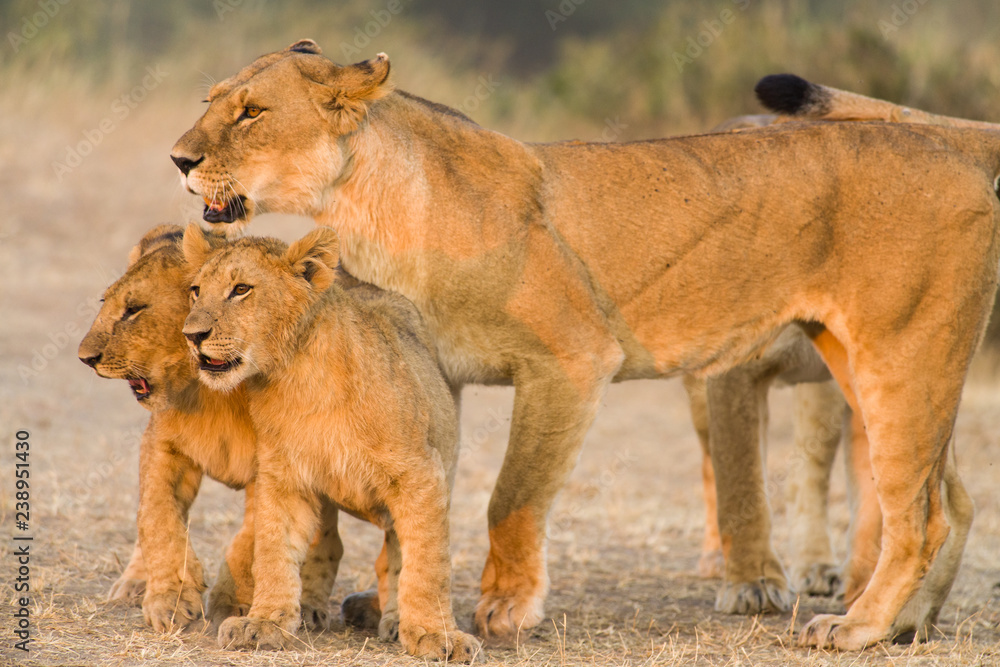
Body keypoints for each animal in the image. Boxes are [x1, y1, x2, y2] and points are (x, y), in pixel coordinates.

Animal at [77, 225, 351, 633]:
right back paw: (135, 582)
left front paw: (230, 601)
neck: (213, 394)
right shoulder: (162, 447)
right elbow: (158, 518)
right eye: (103, 301)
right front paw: (170, 598)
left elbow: (252, 538)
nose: (85, 358)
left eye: (134, 309)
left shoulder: (272, 465)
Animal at [181, 224, 480, 661]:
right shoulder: (283, 478)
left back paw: (394, 619)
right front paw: (264, 622)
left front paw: (435, 634)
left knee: (397, 554)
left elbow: (425, 562)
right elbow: (273, 551)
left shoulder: (421, 474)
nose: (192, 335)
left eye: (241, 289)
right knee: (328, 543)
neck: (297, 376)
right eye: (196, 290)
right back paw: (309, 607)